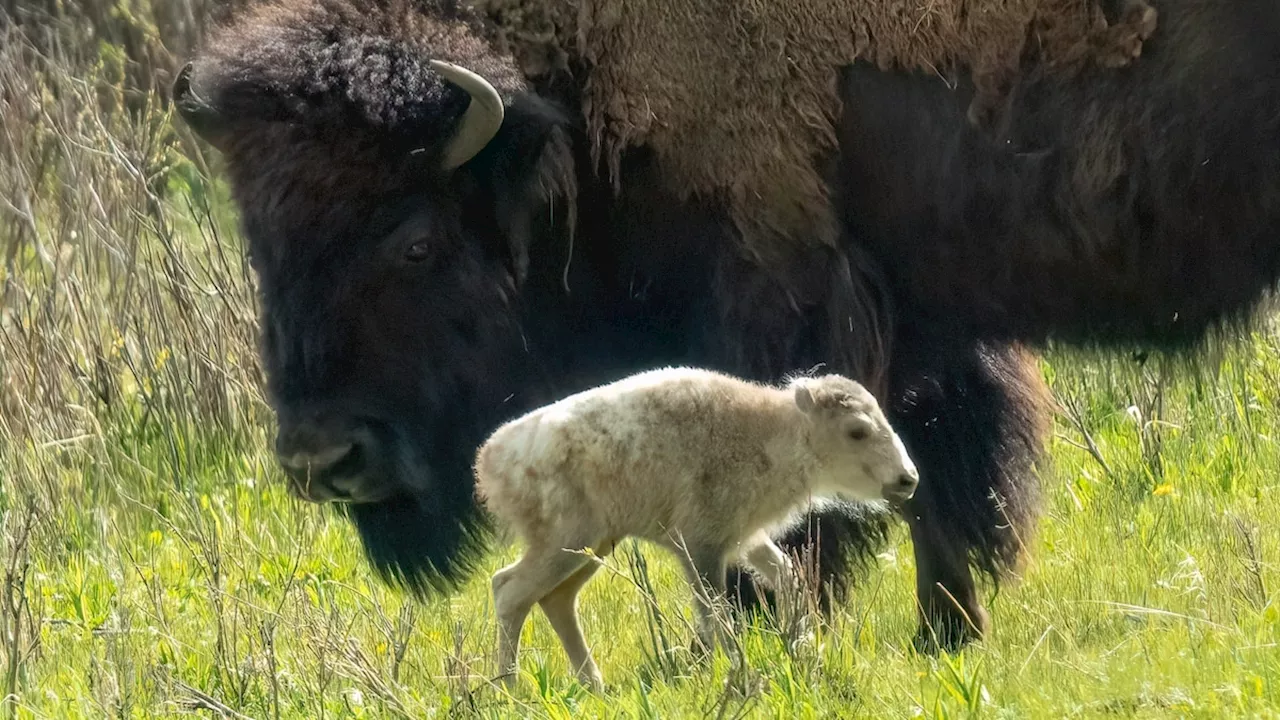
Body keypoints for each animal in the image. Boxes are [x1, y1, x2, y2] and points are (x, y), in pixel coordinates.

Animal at [172, 0, 1280, 650]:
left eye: (413, 240)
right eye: (260, 241)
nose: (324, 459)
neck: (565, 102)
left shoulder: (784, 292)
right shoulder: (928, 320)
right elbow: (947, 485)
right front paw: (943, 639)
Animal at [476, 366, 916, 686]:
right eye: (857, 430)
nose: (907, 479)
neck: (770, 433)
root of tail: (491, 460)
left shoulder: (743, 538)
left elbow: (787, 575)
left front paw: (800, 643)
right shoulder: (701, 547)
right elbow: (715, 611)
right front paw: (741, 671)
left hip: (592, 547)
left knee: (555, 599)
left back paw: (593, 686)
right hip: (564, 544)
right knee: (510, 590)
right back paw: (509, 688)